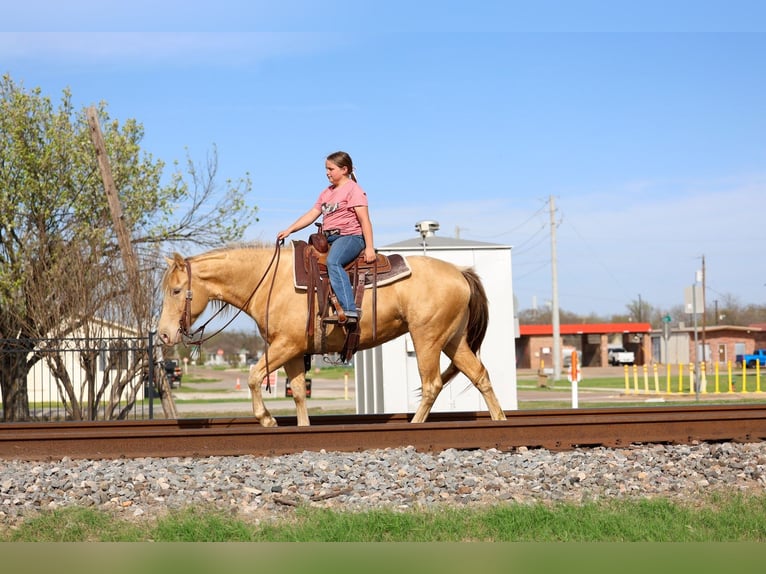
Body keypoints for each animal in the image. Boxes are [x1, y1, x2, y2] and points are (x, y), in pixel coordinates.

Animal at [156, 243, 507, 427]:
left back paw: (415, 425)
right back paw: (500, 419)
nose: (163, 335)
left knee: (432, 383)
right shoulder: (293, 351)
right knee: (480, 375)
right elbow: (298, 391)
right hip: (452, 340)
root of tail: (460, 272)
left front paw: (266, 420)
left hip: (427, 339)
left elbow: (254, 376)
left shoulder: (285, 345)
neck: (269, 281)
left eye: (176, 290)